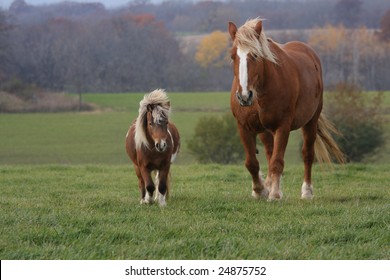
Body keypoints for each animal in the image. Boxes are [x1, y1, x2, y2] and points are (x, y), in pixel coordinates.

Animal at [229, 18, 344, 200]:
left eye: (255, 55)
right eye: (233, 56)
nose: (244, 96)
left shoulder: (282, 127)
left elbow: (277, 161)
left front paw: (275, 194)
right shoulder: (244, 127)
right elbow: (252, 163)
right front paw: (260, 190)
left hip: (311, 122)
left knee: (307, 154)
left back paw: (307, 191)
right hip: (264, 131)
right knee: (269, 152)